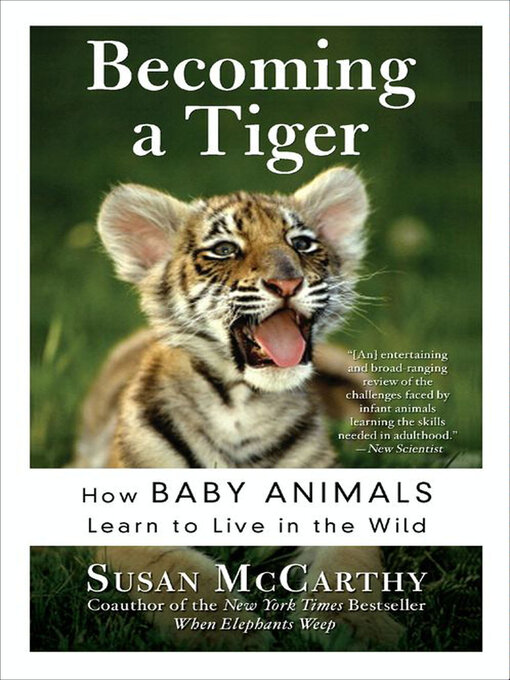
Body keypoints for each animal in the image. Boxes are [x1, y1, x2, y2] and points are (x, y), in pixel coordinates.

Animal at [73, 166, 404, 649]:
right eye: (225, 249)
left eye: (302, 243)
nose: (287, 283)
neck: (243, 405)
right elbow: (187, 577)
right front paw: (234, 635)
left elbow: (350, 569)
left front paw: (358, 629)